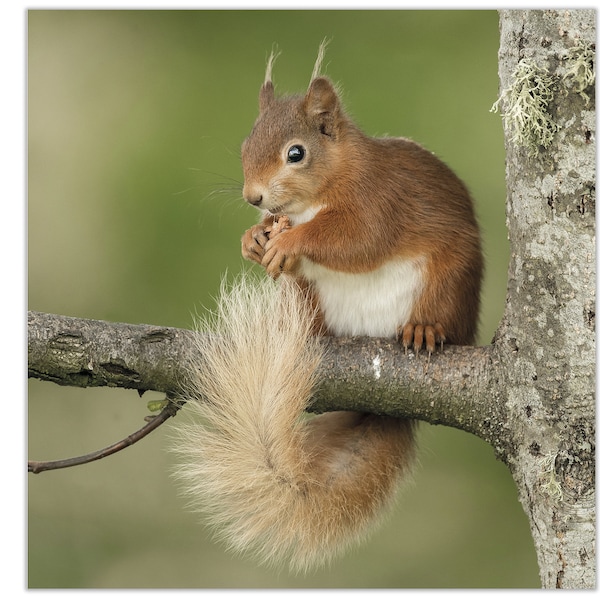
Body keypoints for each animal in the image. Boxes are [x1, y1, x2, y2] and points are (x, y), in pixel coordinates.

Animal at [172, 45, 482, 572]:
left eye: (296, 153)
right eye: (246, 143)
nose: (252, 197)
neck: (317, 194)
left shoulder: (379, 201)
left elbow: (356, 239)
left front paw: (289, 240)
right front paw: (254, 238)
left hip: (449, 283)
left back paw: (423, 329)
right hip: (306, 299)